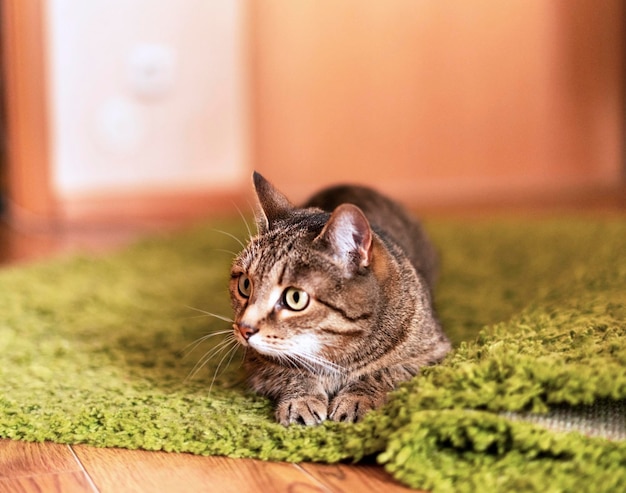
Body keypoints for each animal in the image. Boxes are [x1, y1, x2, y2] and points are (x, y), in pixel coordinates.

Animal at [229, 172, 448, 422]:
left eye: (295, 298)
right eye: (245, 285)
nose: (243, 329)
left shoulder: (430, 355)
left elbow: (381, 372)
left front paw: (357, 399)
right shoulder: (256, 363)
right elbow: (292, 373)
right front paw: (301, 400)